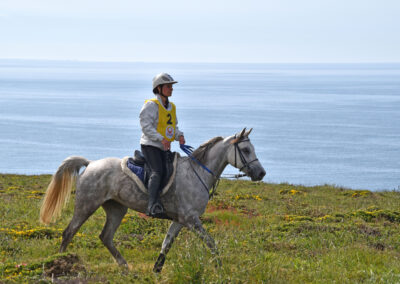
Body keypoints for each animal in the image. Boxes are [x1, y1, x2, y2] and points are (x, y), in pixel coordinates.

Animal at [39, 127, 266, 272]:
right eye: (246, 150)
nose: (261, 173)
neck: (198, 172)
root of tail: (90, 164)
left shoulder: (180, 220)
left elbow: (166, 243)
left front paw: (157, 269)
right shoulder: (191, 219)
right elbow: (210, 241)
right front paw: (219, 266)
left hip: (116, 208)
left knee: (105, 236)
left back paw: (125, 267)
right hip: (87, 205)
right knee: (69, 232)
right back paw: (59, 261)